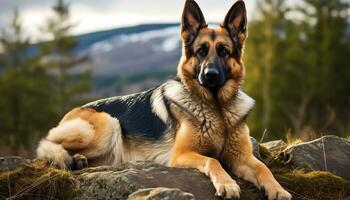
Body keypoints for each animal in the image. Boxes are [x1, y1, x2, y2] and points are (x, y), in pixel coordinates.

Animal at [36, 0, 292, 199]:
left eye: (223, 51)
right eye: (201, 51)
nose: (210, 75)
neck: (216, 108)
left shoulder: (243, 157)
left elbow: (264, 169)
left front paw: (278, 190)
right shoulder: (182, 154)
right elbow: (214, 162)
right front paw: (227, 183)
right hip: (107, 124)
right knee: (48, 145)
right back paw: (74, 157)